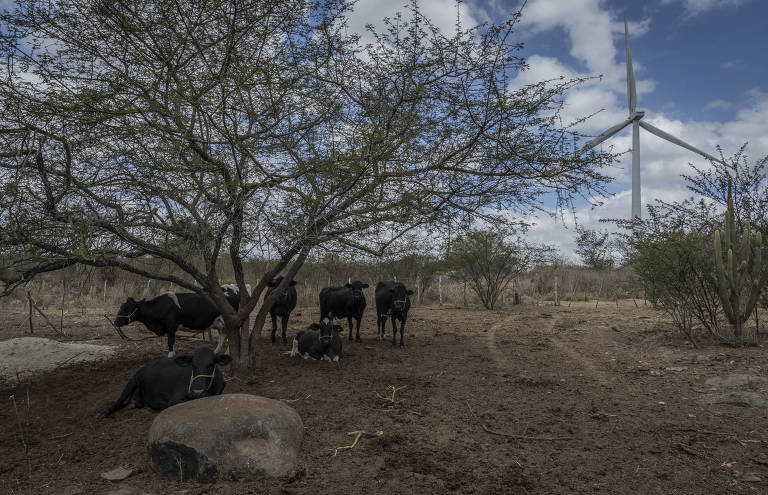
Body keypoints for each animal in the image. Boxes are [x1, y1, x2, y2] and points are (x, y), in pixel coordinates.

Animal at [101, 347, 232, 417]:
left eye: (211, 365)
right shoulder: (175, 399)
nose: (197, 391)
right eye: (193, 366)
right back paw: (105, 412)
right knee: (118, 402)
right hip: (132, 380)